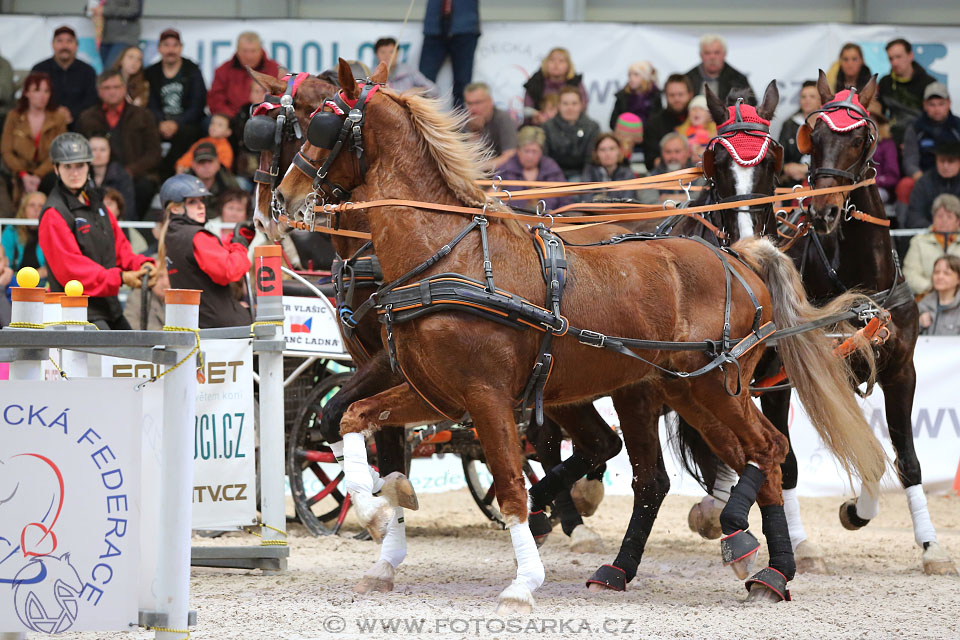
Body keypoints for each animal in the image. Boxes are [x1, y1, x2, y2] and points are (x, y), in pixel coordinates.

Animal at [274, 61, 888, 608]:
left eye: (324, 125)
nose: (284, 195)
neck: (451, 255)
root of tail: (737, 257)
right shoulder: (432, 393)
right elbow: (348, 419)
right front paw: (379, 515)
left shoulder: (486, 397)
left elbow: (511, 485)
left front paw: (523, 584)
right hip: (684, 390)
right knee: (721, 464)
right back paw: (746, 565)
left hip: (716, 386)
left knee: (767, 450)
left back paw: (765, 562)